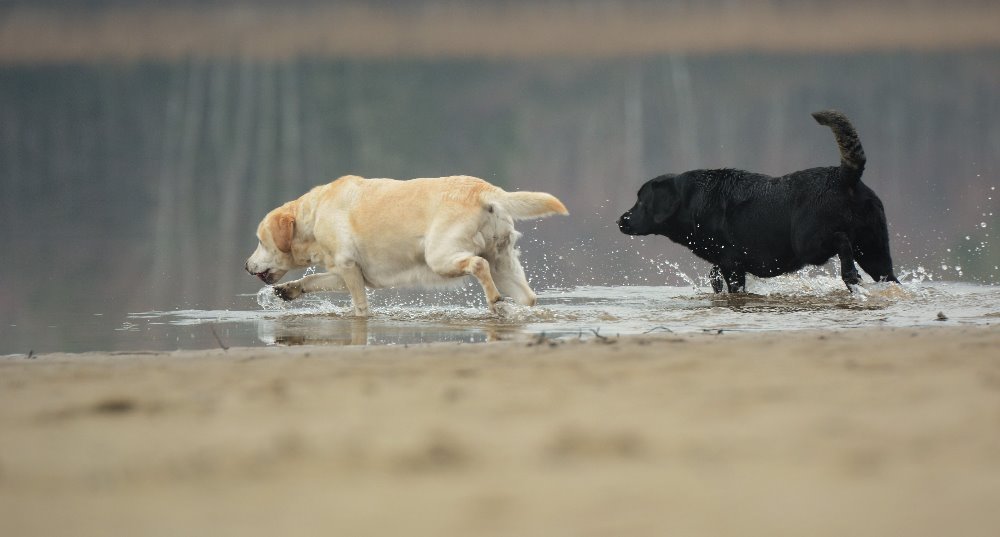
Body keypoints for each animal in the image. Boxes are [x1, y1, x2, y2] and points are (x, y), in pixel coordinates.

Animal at [616, 110, 900, 294]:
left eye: (641, 201)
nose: (621, 220)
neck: (693, 201)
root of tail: (843, 176)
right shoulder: (726, 262)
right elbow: (714, 275)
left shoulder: (732, 263)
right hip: (875, 250)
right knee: (887, 274)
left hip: (808, 242)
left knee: (841, 241)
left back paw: (850, 274)